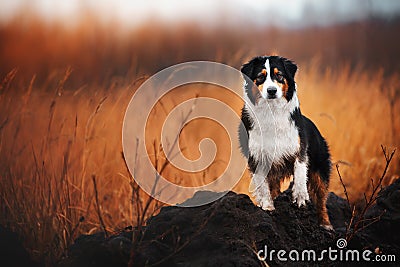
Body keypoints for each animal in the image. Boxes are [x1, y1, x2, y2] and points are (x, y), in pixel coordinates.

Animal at [239, 55, 332, 231]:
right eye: (260, 77)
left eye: (279, 75)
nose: (272, 91)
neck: (272, 111)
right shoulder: (257, 156)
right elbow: (263, 186)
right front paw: (267, 206)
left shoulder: (299, 148)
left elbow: (300, 172)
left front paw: (300, 197)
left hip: (320, 169)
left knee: (321, 198)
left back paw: (325, 224)